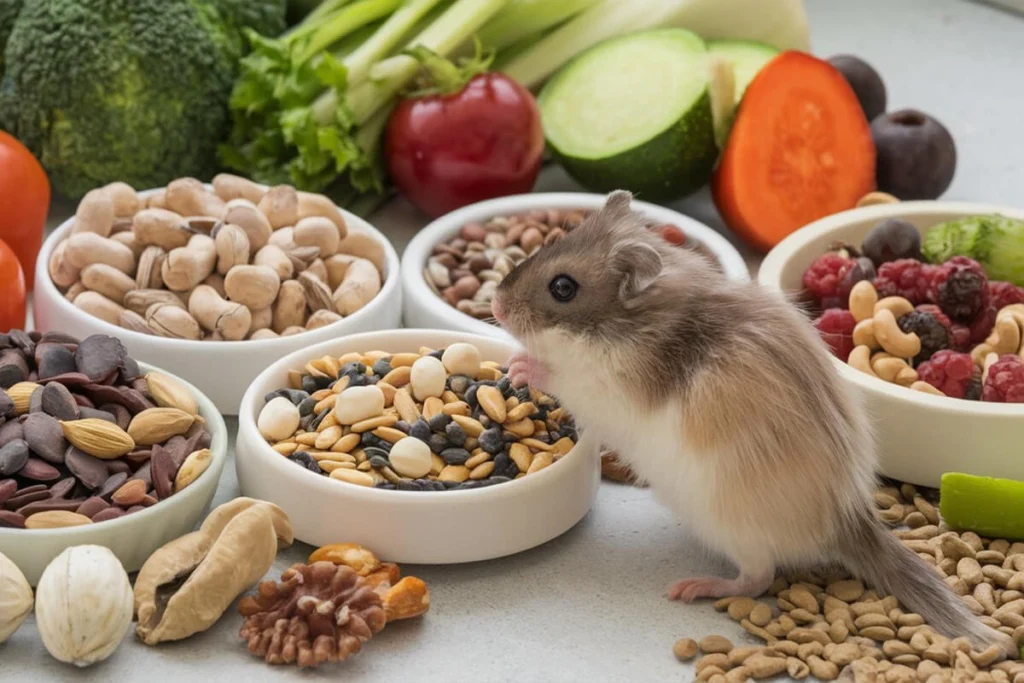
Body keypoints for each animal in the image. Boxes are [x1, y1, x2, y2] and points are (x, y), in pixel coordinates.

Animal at [491, 189, 1011, 651]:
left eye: (563, 287)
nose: (495, 304)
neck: (632, 325)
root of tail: (847, 524)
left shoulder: (603, 386)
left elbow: (560, 375)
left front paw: (519, 367)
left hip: (731, 527)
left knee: (757, 579)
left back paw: (693, 587)